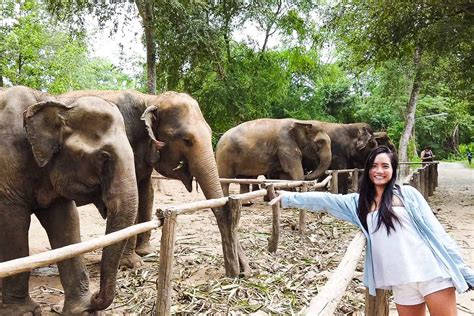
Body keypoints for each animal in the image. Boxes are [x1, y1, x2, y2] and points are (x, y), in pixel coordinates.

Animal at [0, 86, 139, 314]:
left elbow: (67, 223)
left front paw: (81, 311)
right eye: (104, 156)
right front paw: (24, 312)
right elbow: (13, 227)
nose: (95, 297)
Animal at [57, 89, 246, 276]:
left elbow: (147, 193)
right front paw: (133, 263)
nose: (243, 271)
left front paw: (146, 252)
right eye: (186, 140)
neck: (150, 100)